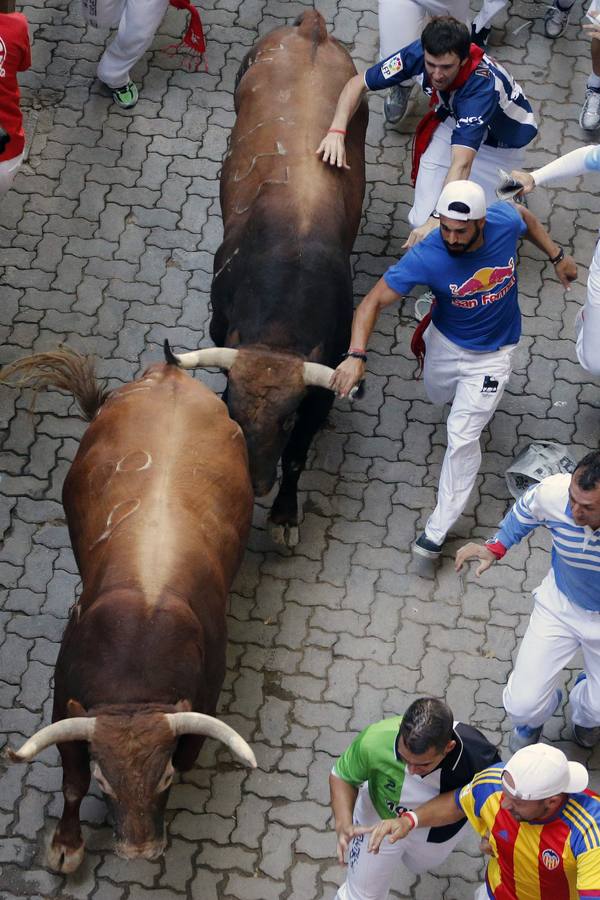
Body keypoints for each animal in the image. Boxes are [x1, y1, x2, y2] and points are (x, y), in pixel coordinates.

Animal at [2, 350, 255, 872]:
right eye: (105, 780)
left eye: (164, 780)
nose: (139, 851)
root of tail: (171, 374)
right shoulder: (66, 701)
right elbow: (72, 782)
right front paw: (67, 844)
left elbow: (187, 755)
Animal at [166, 10, 368, 544]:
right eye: (232, 408)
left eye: (286, 419)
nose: (255, 483)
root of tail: (310, 27)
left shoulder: (323, 388)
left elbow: (297, 457)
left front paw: (282, 515)